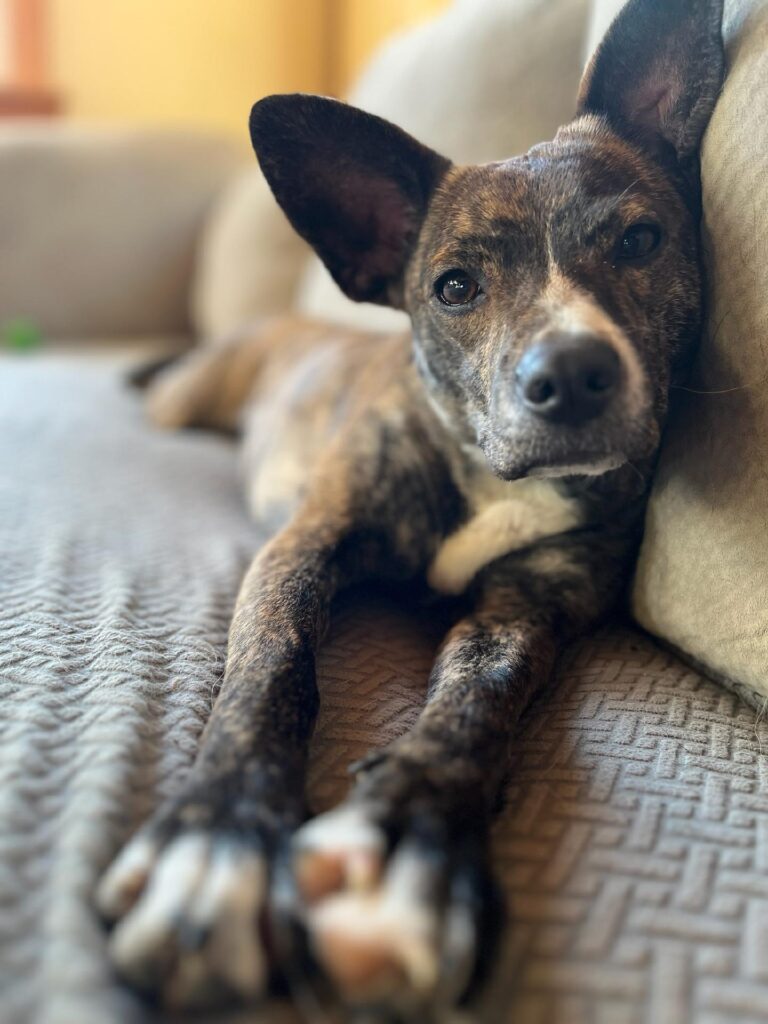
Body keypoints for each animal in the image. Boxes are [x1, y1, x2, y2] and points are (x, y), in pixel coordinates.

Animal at [97, 0, 725, 1015]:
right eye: (455, 287)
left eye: (639, 241)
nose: (570, 375)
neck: (486, 472)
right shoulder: (303, 546)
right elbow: (272, 665)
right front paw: (219, 836)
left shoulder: (535, 601)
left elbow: (483, 689)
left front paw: (409, 844)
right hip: (187, 398)